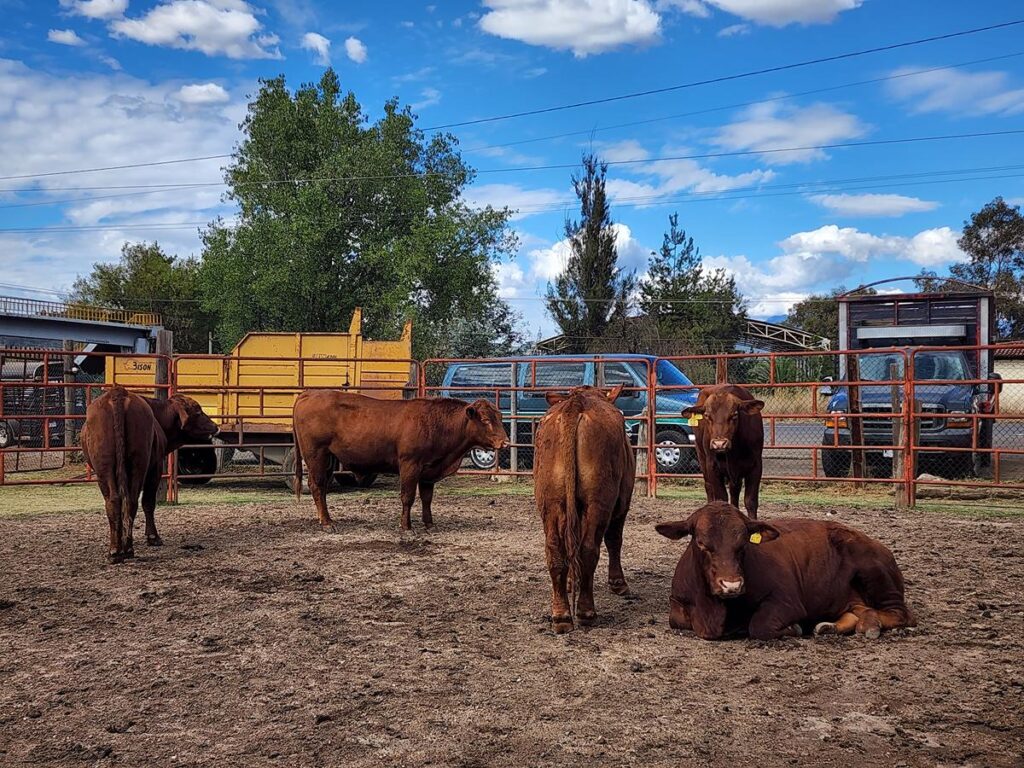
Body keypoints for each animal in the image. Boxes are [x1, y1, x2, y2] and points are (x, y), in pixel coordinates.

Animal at [82, 387, 220, 561]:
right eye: (198, 412)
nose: (216, 426)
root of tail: (118, 393)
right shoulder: (155, 467)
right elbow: (148, 502)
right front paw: (153, 537)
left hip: (109, 468)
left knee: (119, 501)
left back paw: (118, 550)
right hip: (134, 466)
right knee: (130, 501)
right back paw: (125, 549)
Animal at [292, 393, 507, 532]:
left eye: (499, 416)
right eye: (486, 420)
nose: (504, 441)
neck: (435, 423)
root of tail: (309, 394)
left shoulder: (428, 471)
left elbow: (427, 498)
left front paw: (429, 524)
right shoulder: (410, 465)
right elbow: (408, 497)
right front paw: (406, 527)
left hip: (329, 459)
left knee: (322, 488)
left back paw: (326, 519)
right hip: (316, 456)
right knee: (317, 486)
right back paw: (327, 523)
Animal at [532, 387, 634, 634]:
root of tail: (575, 404)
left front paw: (571, 582)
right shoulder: (621, 504)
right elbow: (614, 540)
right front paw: (618, 583)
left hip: (551, 503)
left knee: (556, 550)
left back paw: (561, 615)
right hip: (598, 502)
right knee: (589, 549)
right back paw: (586, 612)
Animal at [655, 501, 913, 638]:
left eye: (743, 543)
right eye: (701, 543)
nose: (732, 585)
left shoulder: (786, 601)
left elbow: (759, 625)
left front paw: (793, 627)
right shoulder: (677, 603)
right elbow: (676, 619)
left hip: (877, 576)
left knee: (900, 614)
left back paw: (870, 625)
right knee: (860, 610)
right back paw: (832, 625)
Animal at [684, 387, 765, 520]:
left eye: (734, 414)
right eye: (707, 415)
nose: (719, 443)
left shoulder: (756, 466)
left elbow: (751, 501)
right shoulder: (712, 467)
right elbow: (721, 499)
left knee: (734, 491)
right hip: (702, 457)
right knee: (709, 488)